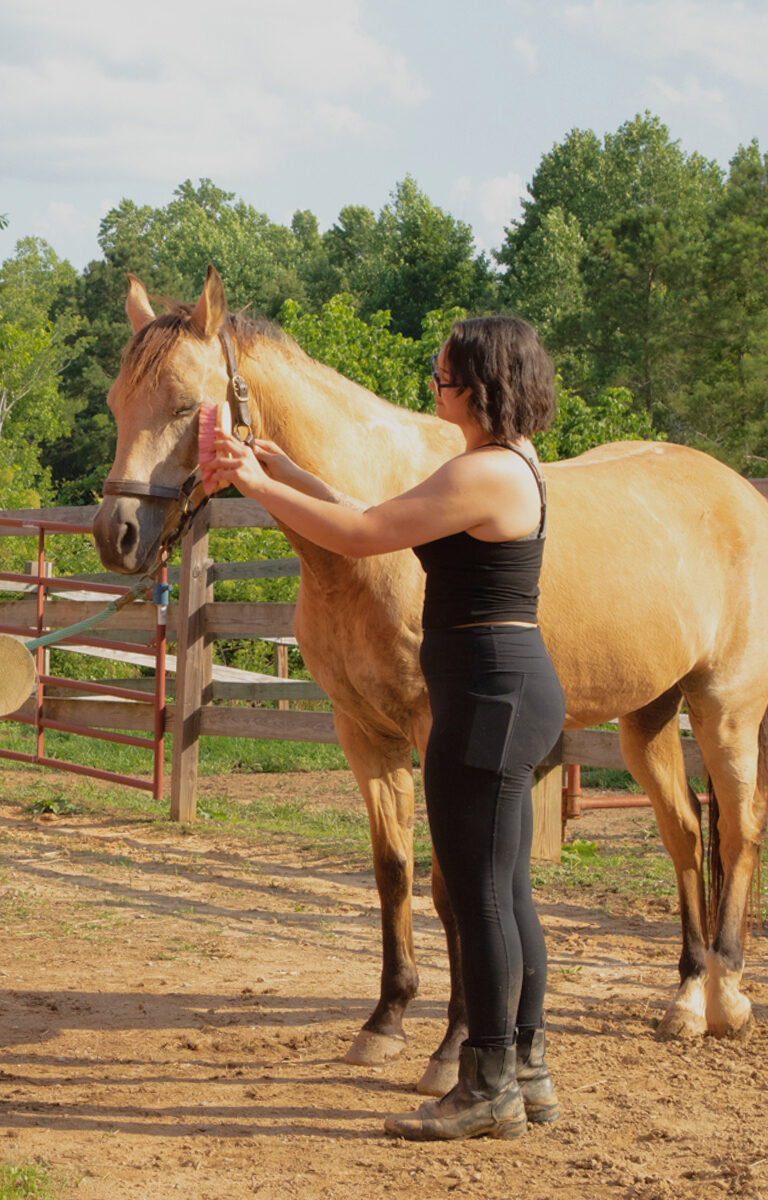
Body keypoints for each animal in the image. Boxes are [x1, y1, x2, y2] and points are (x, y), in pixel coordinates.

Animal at [93, 266, 768, 1097]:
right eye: (117, 403)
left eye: (190, 406)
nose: (117, 536)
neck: (370, 536)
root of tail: (739, 490)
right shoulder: (362, 730)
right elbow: (394, 872)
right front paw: (385, 1021)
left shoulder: (439, 734)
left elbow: (453, 885)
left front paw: (451, 1051)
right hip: (647, 718)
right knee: (685, 834)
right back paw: (685, 997)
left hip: (725, 707)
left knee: (738, 831)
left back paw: (727, 997)